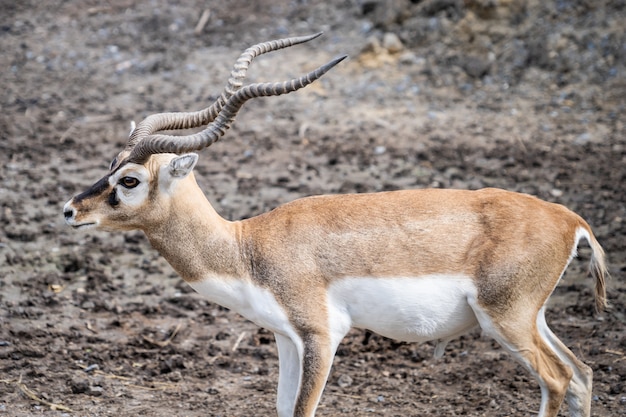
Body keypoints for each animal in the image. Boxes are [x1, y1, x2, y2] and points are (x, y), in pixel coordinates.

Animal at [63, 33, 604, 416]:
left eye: (130, 180)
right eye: (112, 162)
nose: (70, 209)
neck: (247, 246)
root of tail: (570, 218)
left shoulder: (322, 336)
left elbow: (304, 410)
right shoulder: (285, 337)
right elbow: (283, 408)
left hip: (506, 319)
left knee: (557, 379)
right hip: (532, 317)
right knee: (582, 373)